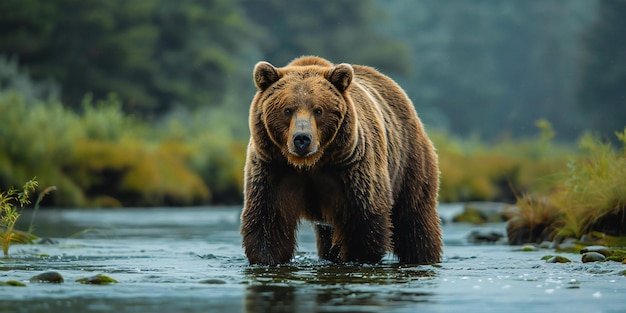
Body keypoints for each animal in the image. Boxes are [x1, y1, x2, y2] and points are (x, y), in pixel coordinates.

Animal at [239, 55, 438, 264]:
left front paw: (358, 256)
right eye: (287, 110)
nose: (302, 139)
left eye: (318, 110)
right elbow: (268, 222)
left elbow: (363, 223)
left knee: (415, 222)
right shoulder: (273, 168)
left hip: (409, 162)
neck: (311, 163)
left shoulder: (351, 169)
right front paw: (267, 258)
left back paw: (423, 256)